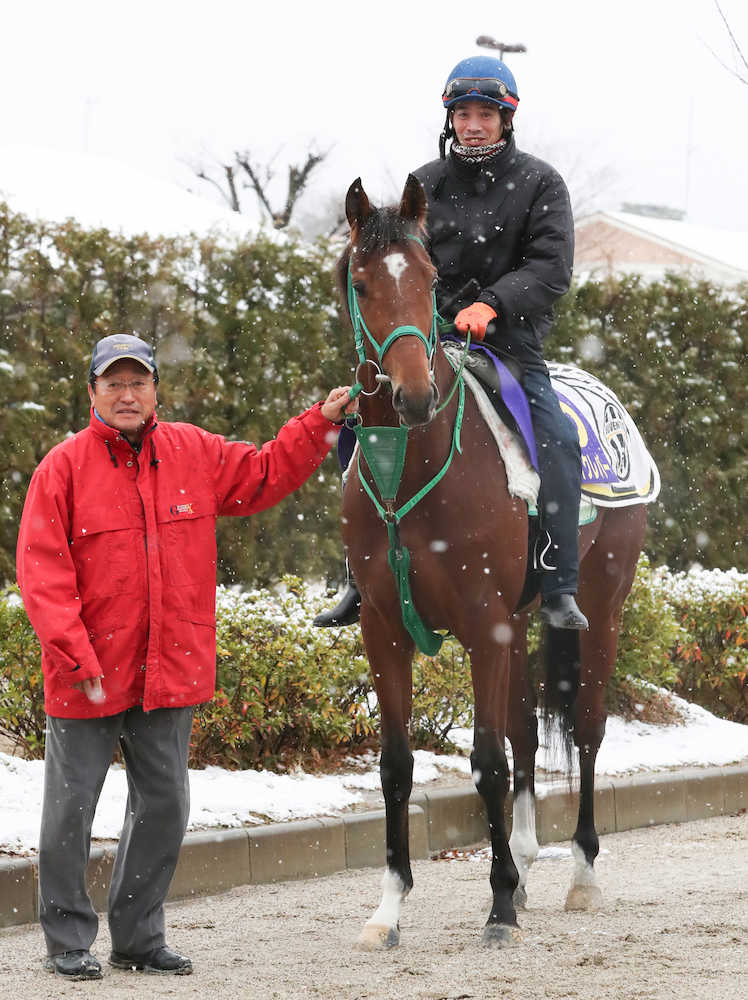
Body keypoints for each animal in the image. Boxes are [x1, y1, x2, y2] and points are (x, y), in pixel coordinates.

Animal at [342, 176, 644, 948]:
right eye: (362, 281)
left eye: (429, 280)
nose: (414, 395)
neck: (410, 466)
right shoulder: (385, 628)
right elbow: (397, 764)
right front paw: (388, 908)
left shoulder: (483, 624)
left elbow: (485, 762)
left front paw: (500, 902)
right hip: (518, 622)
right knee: (528, 732)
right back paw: (531, 861)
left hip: (600, 607)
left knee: (587, 730)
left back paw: (579, 875)